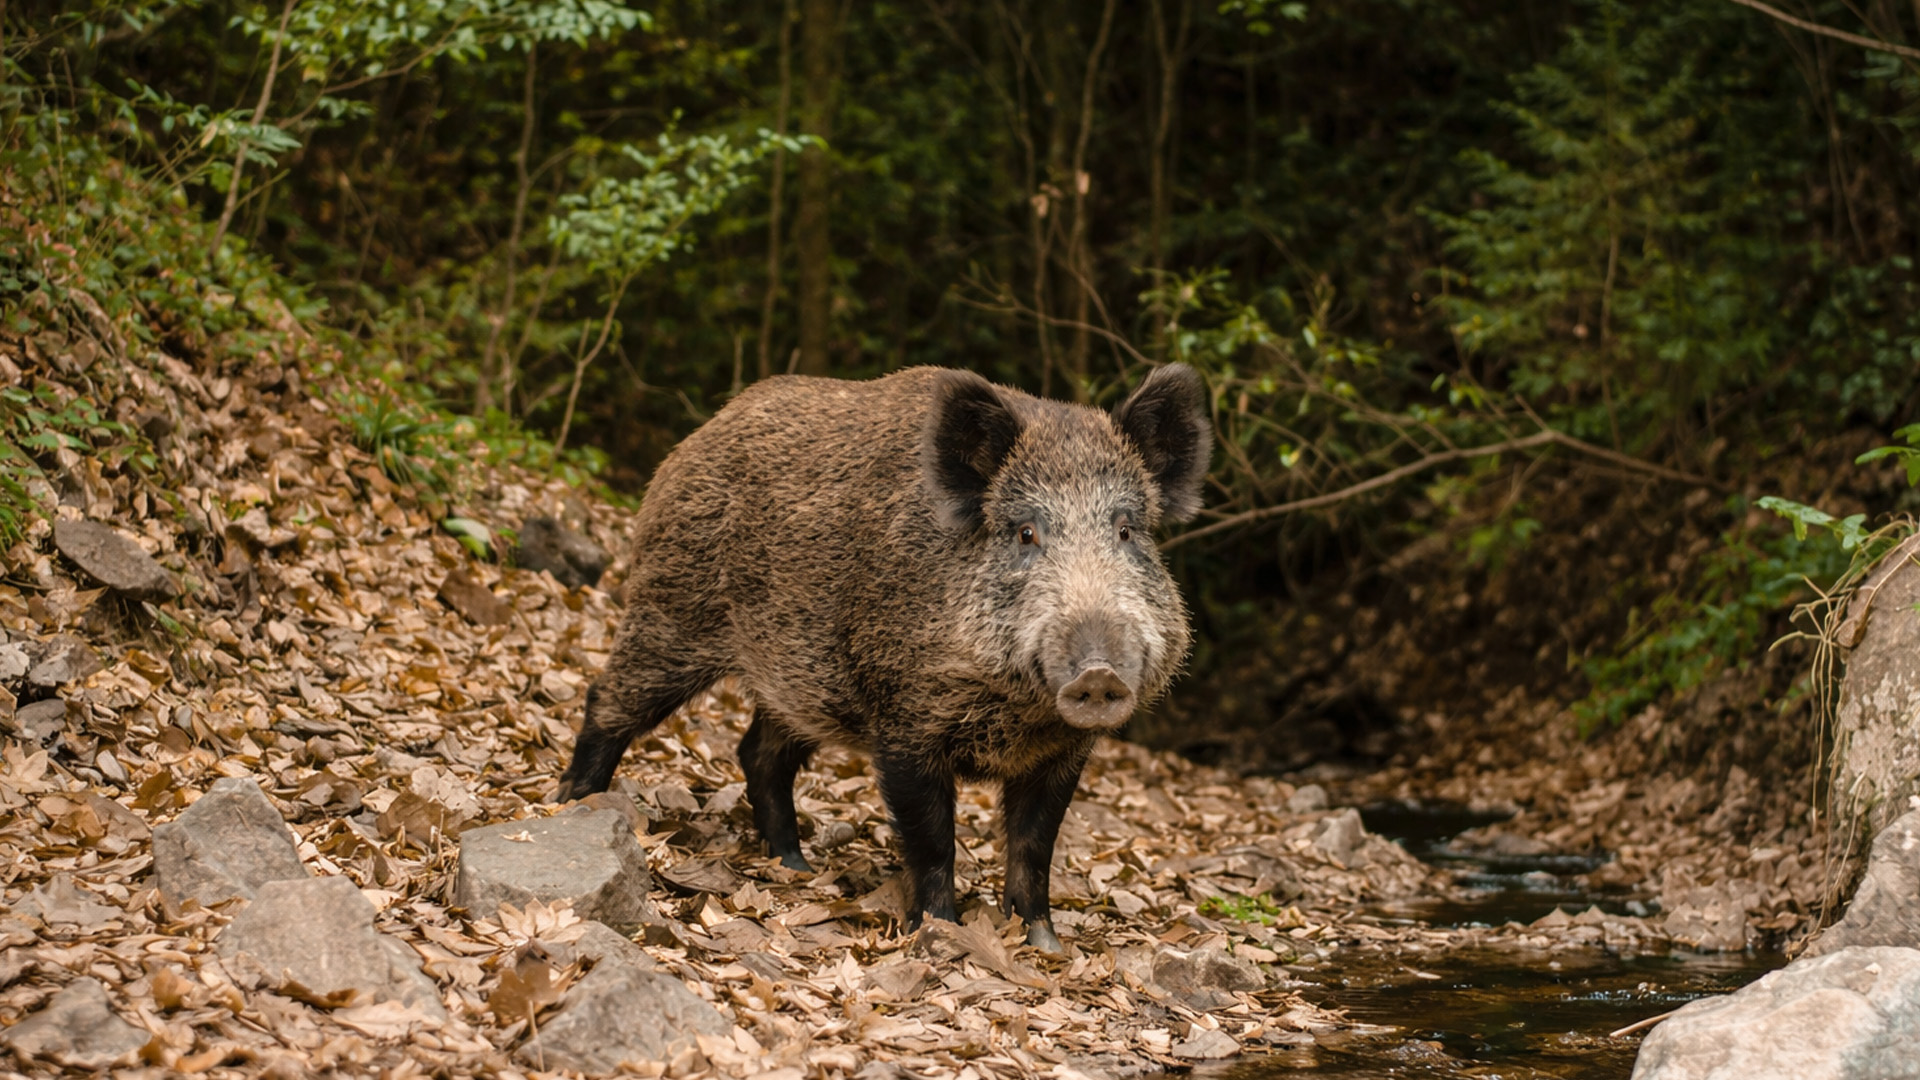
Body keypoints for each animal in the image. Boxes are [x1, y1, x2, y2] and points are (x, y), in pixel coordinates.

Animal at [556, 364, 1212, 949]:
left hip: (795, 681)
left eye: (1126, 531)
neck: (1017, 711)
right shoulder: (904, 721)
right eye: (1025, 532)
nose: (1099, 672)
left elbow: (1034, 848)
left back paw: (794, 864)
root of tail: (695, 440)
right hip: (672, 609)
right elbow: (932, 838)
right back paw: (573, 803)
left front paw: (1045, 944)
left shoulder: (1063, 754)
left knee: (758, 753)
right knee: (608, 701)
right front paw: (940, 932)